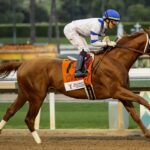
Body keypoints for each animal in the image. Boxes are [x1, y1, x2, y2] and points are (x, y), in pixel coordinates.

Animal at [0, 29, 150, 143]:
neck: (116, 60)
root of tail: (23, 63)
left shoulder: (122, 93)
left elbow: (135, 114)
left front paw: (147, 134)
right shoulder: (117, 90)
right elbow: (142, 100)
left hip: (24, 93)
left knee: (10, 111)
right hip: (37, 96)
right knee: (29, 119)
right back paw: (39, 142)